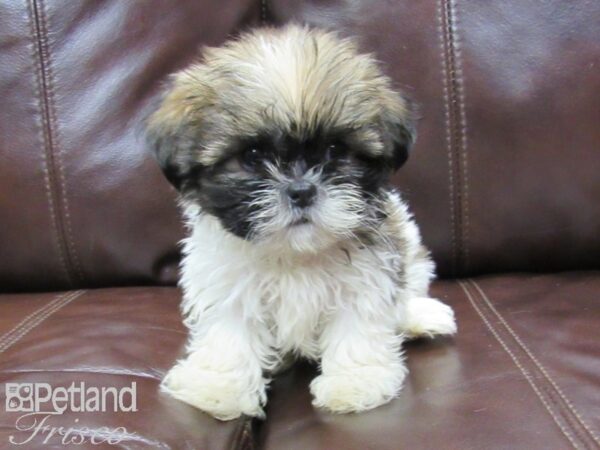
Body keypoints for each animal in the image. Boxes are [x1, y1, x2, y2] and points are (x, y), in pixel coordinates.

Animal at [148, 23, 458, 418]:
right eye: (252, 156)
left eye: (335, 150)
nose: (301, 190)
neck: (294, 255)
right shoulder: (226, 282)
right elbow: (230, 333)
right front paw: (218, 386)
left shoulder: (366, 278)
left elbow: (358, 328)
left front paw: (354, 383)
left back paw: (420, 316)